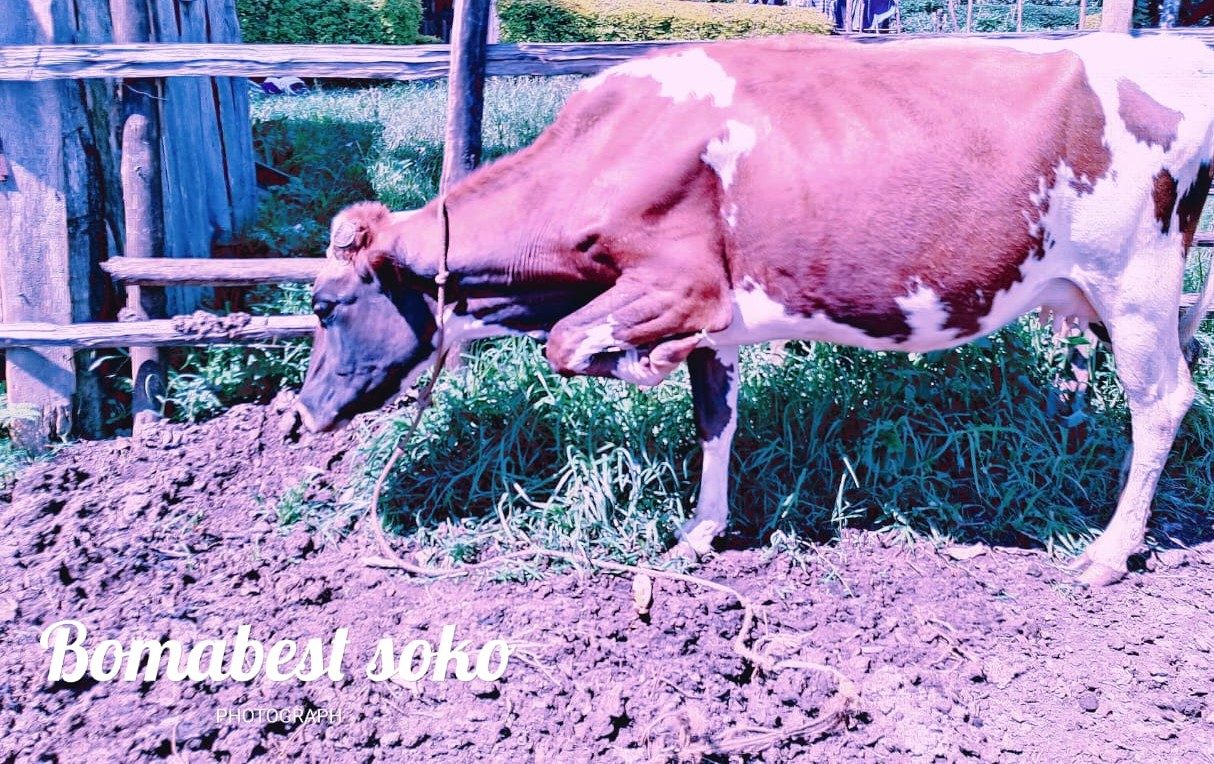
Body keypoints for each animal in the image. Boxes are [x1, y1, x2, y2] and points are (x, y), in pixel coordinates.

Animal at [295, 33, 1214, 586]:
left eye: (325, 302)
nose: (300, 413)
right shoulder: (715, 323)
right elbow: (715, 419)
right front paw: (702, 531)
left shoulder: (684, 288)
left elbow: (566, 343)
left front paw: (643, 363)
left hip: (1134, 284)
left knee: (1163, 401)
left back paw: (1108, 553)